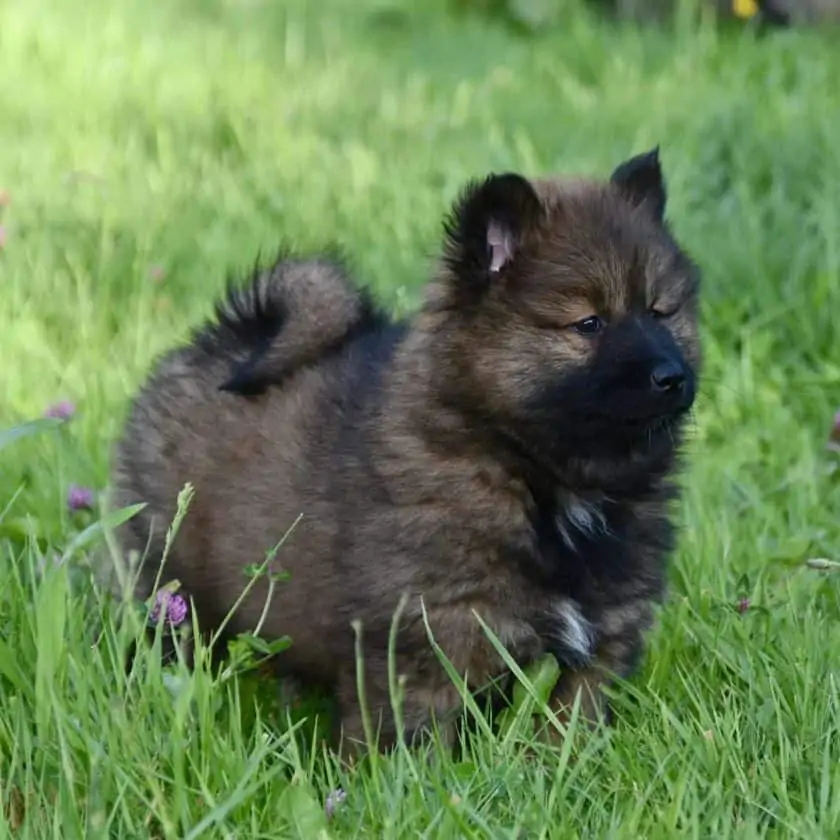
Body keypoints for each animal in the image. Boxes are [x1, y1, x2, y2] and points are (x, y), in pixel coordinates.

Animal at [110, 149, 704, 756]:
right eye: (589, 323)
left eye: (662, 311)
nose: (673, 377)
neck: (535, 475)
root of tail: (224, 338)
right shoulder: (425, 640)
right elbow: (411, 736)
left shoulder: (600, 642)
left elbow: (568, 725)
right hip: (166, 579)